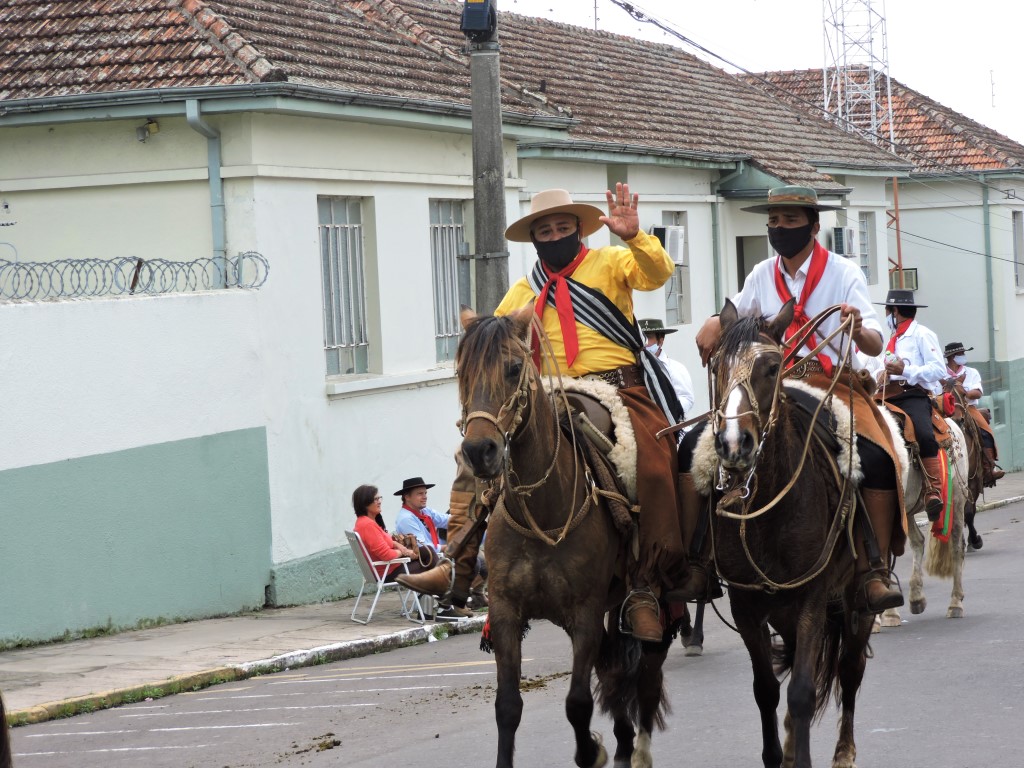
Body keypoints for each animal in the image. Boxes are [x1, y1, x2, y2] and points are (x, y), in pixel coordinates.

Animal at [458, 307, 671, 768]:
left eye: (514, 368)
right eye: (461, 371)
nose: (479, 451)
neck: (543, 510)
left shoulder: (585, 614)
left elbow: (577, 703)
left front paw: (590, 751)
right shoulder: (505, 612)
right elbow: (508, 706)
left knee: (645, 669)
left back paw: (638, 746)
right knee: (613, 667)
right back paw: (624, 739)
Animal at [696, 301, 880, 768]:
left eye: (772, 367)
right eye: (717, 367)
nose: (733, 444)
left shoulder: (812, 597)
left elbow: (800, 692)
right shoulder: (746, 605)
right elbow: (766, 689)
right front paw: (778, 753)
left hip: (856, 599)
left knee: (850, 669)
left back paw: (844, 751)